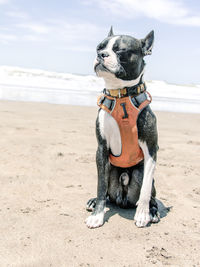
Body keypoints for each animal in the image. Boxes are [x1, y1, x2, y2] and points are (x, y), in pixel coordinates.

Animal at [85, 26, 159, 228]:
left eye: (121, 51)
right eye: (98, 47)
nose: (101, 54)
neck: (120, 95)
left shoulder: (151, 150)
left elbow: (145, 189)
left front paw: (143, 214)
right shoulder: (101, 149)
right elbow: (100, 186)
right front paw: (98, 215)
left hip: (139, 172)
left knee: (151, 192)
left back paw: (153, 211)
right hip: (111, 168)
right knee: (106, 193)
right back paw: (95, 202)